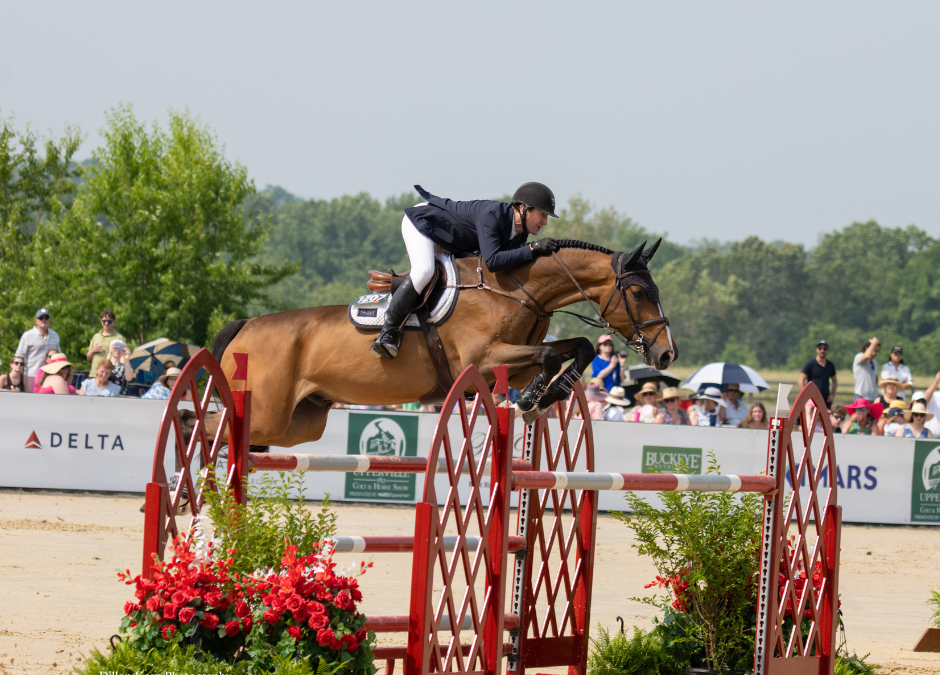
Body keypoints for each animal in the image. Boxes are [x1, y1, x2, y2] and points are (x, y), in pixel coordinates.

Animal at [206, 239, 676, 448]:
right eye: (639, 293)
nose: (667, 353)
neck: (514, 290)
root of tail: (246, 326)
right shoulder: (483, 360)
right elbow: (548, 353)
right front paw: (530, 401)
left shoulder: (514, 365)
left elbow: (577, 347)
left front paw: (547, 395)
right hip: (265, 414)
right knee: (207, 425)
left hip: (298, 423)